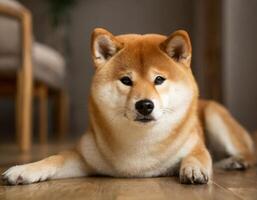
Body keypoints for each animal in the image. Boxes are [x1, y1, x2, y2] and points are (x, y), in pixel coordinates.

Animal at [2, 27, 254, 184]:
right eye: (126, 80)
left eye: (159, 79)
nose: (144, 105)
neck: (141, 144)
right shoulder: (82, 157)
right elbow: (54, 158)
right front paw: (24, 169)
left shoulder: (195, 145)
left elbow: (198, 155)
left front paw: (193, 168)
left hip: (213, 114)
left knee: (250, 152)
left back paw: (235, 161)